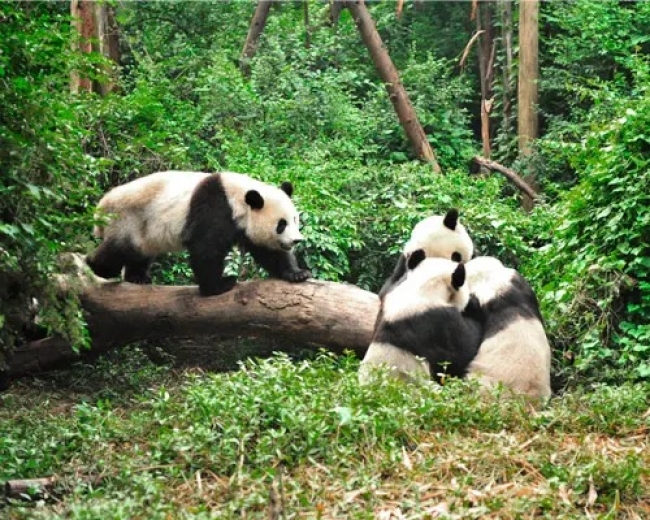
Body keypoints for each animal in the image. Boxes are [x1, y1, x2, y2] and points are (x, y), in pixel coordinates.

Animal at [86, 170, 311, 296]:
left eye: (295, 219)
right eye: (281, 224)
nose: (296, 240)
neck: (238, 198)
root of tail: (102, 206)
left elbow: (268, 251)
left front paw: (297, 273)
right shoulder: (214, 209)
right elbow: (206, 249)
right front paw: (219, 286)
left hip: (144, 230)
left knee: (139, 252)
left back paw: (137, 277)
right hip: (127, 219)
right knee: (116, 251)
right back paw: (93, 266)